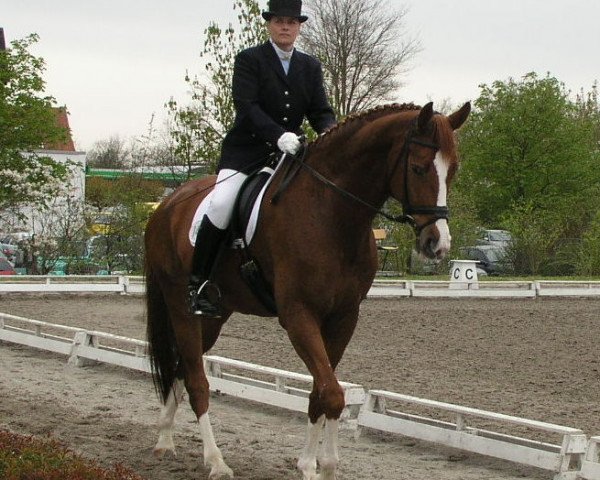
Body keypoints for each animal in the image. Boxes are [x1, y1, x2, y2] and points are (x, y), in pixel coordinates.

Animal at [144, 102, 468, 480]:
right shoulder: (299, 315)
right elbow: (333, 394)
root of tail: (167, 205)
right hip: (180, 304)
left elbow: (322, 391)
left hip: (213, 315)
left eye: (452, 170)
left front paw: (315, 464)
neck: (332, 214)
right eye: (418, 168)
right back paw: (216, 461)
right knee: (197, 380)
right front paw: (319, 467)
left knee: (183, 365)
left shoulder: (343, 318)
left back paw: (164, 438)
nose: (437, 244)